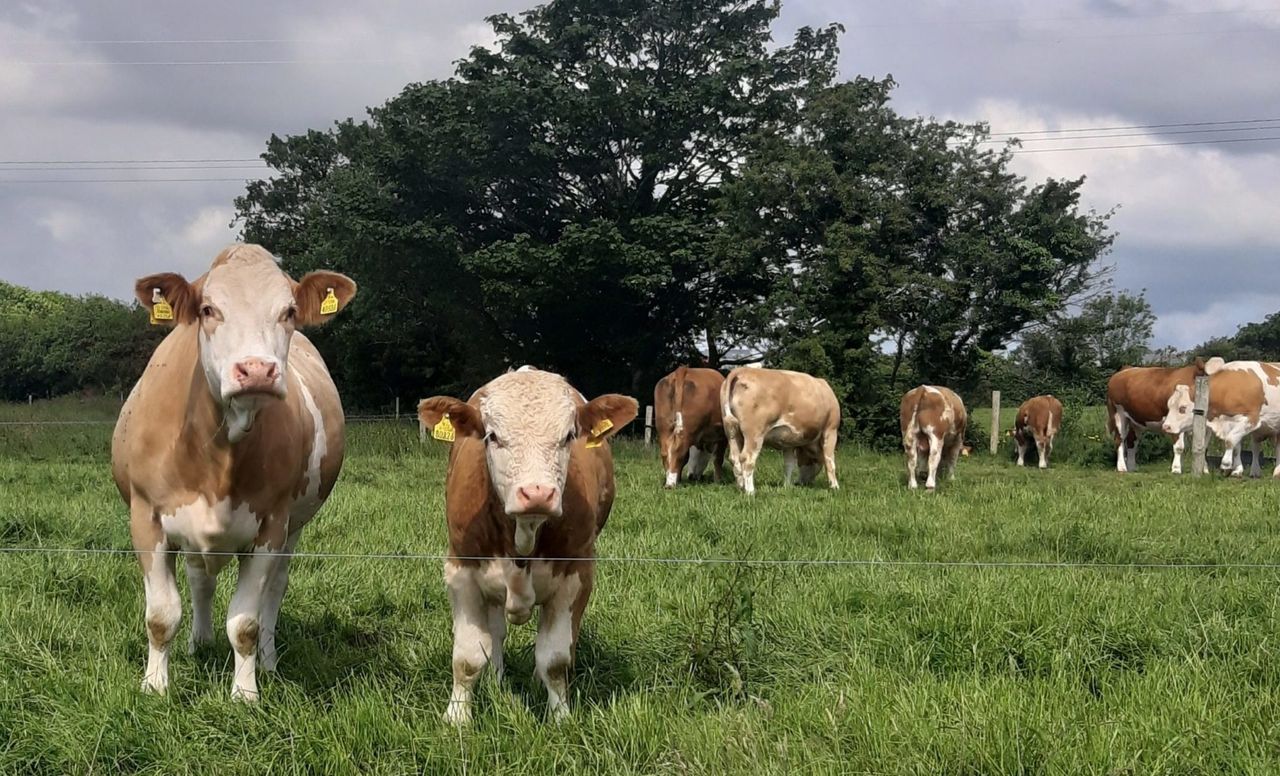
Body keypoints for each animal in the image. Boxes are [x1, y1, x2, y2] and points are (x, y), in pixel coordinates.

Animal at [111, 244, 356, 701]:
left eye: (289, 311)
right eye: (208, 309)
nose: (257, 369)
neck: (217, 451)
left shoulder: (271, 526)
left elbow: (245, 621)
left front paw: (245, 692)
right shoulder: (146, 517)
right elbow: (161, 616)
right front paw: (155, 685)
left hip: (294, 527)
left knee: (274, 590)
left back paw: (269, 660)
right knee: (199, 580)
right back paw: (200, 643)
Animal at [417, 368, 637, 724]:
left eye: (569, 435)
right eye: (492, 436)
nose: (537, 493)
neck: (523, 536)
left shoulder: (577, 575)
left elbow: (555, 659)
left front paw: (561, 718)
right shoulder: (461, 571)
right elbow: (467, 656)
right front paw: (457, 717)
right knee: (495, 633)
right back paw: (495, 679)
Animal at [720, 367, 840, 495]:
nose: (799, 483)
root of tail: (741, 369)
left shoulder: (789, 442)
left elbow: (789, 464)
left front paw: (787, 486)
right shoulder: (831, 429)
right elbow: (829, 460)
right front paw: (835, 486)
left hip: (732, 432)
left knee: (734, 458)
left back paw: (741, 487)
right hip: (754, 433)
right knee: (747, 458)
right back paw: (750, 492)